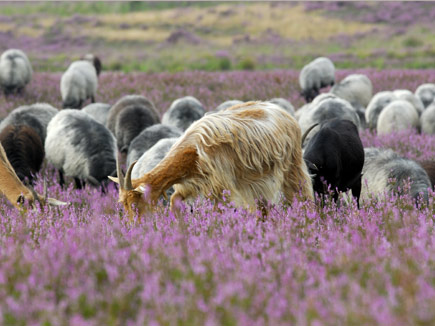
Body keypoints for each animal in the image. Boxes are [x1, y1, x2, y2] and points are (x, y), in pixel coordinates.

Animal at [109, 101, 314, 219]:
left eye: (136, 203)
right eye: (123, 205)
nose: (136, 226)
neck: (193, 151)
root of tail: (284, 113)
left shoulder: (222, 187)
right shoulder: (192, 184)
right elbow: (174, 202)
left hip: (292, 164)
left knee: (301, 192)